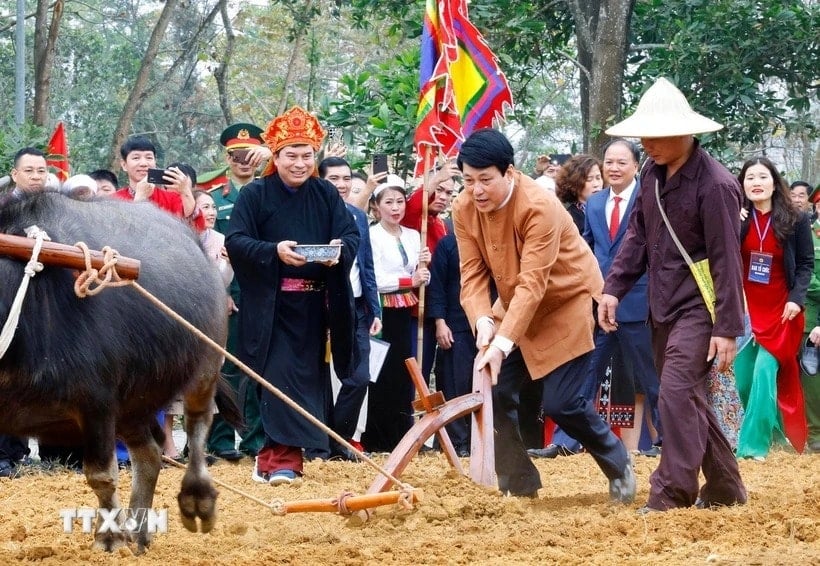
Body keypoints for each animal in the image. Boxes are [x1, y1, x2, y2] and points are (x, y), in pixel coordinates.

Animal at [0, 194, 234, 556]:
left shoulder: (95, 402)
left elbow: (101, 475)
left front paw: (108, 537)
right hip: (132, 403)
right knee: (149, 454)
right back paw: (138, 532)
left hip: (205, 368)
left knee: (197, 428)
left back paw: (197, 500)